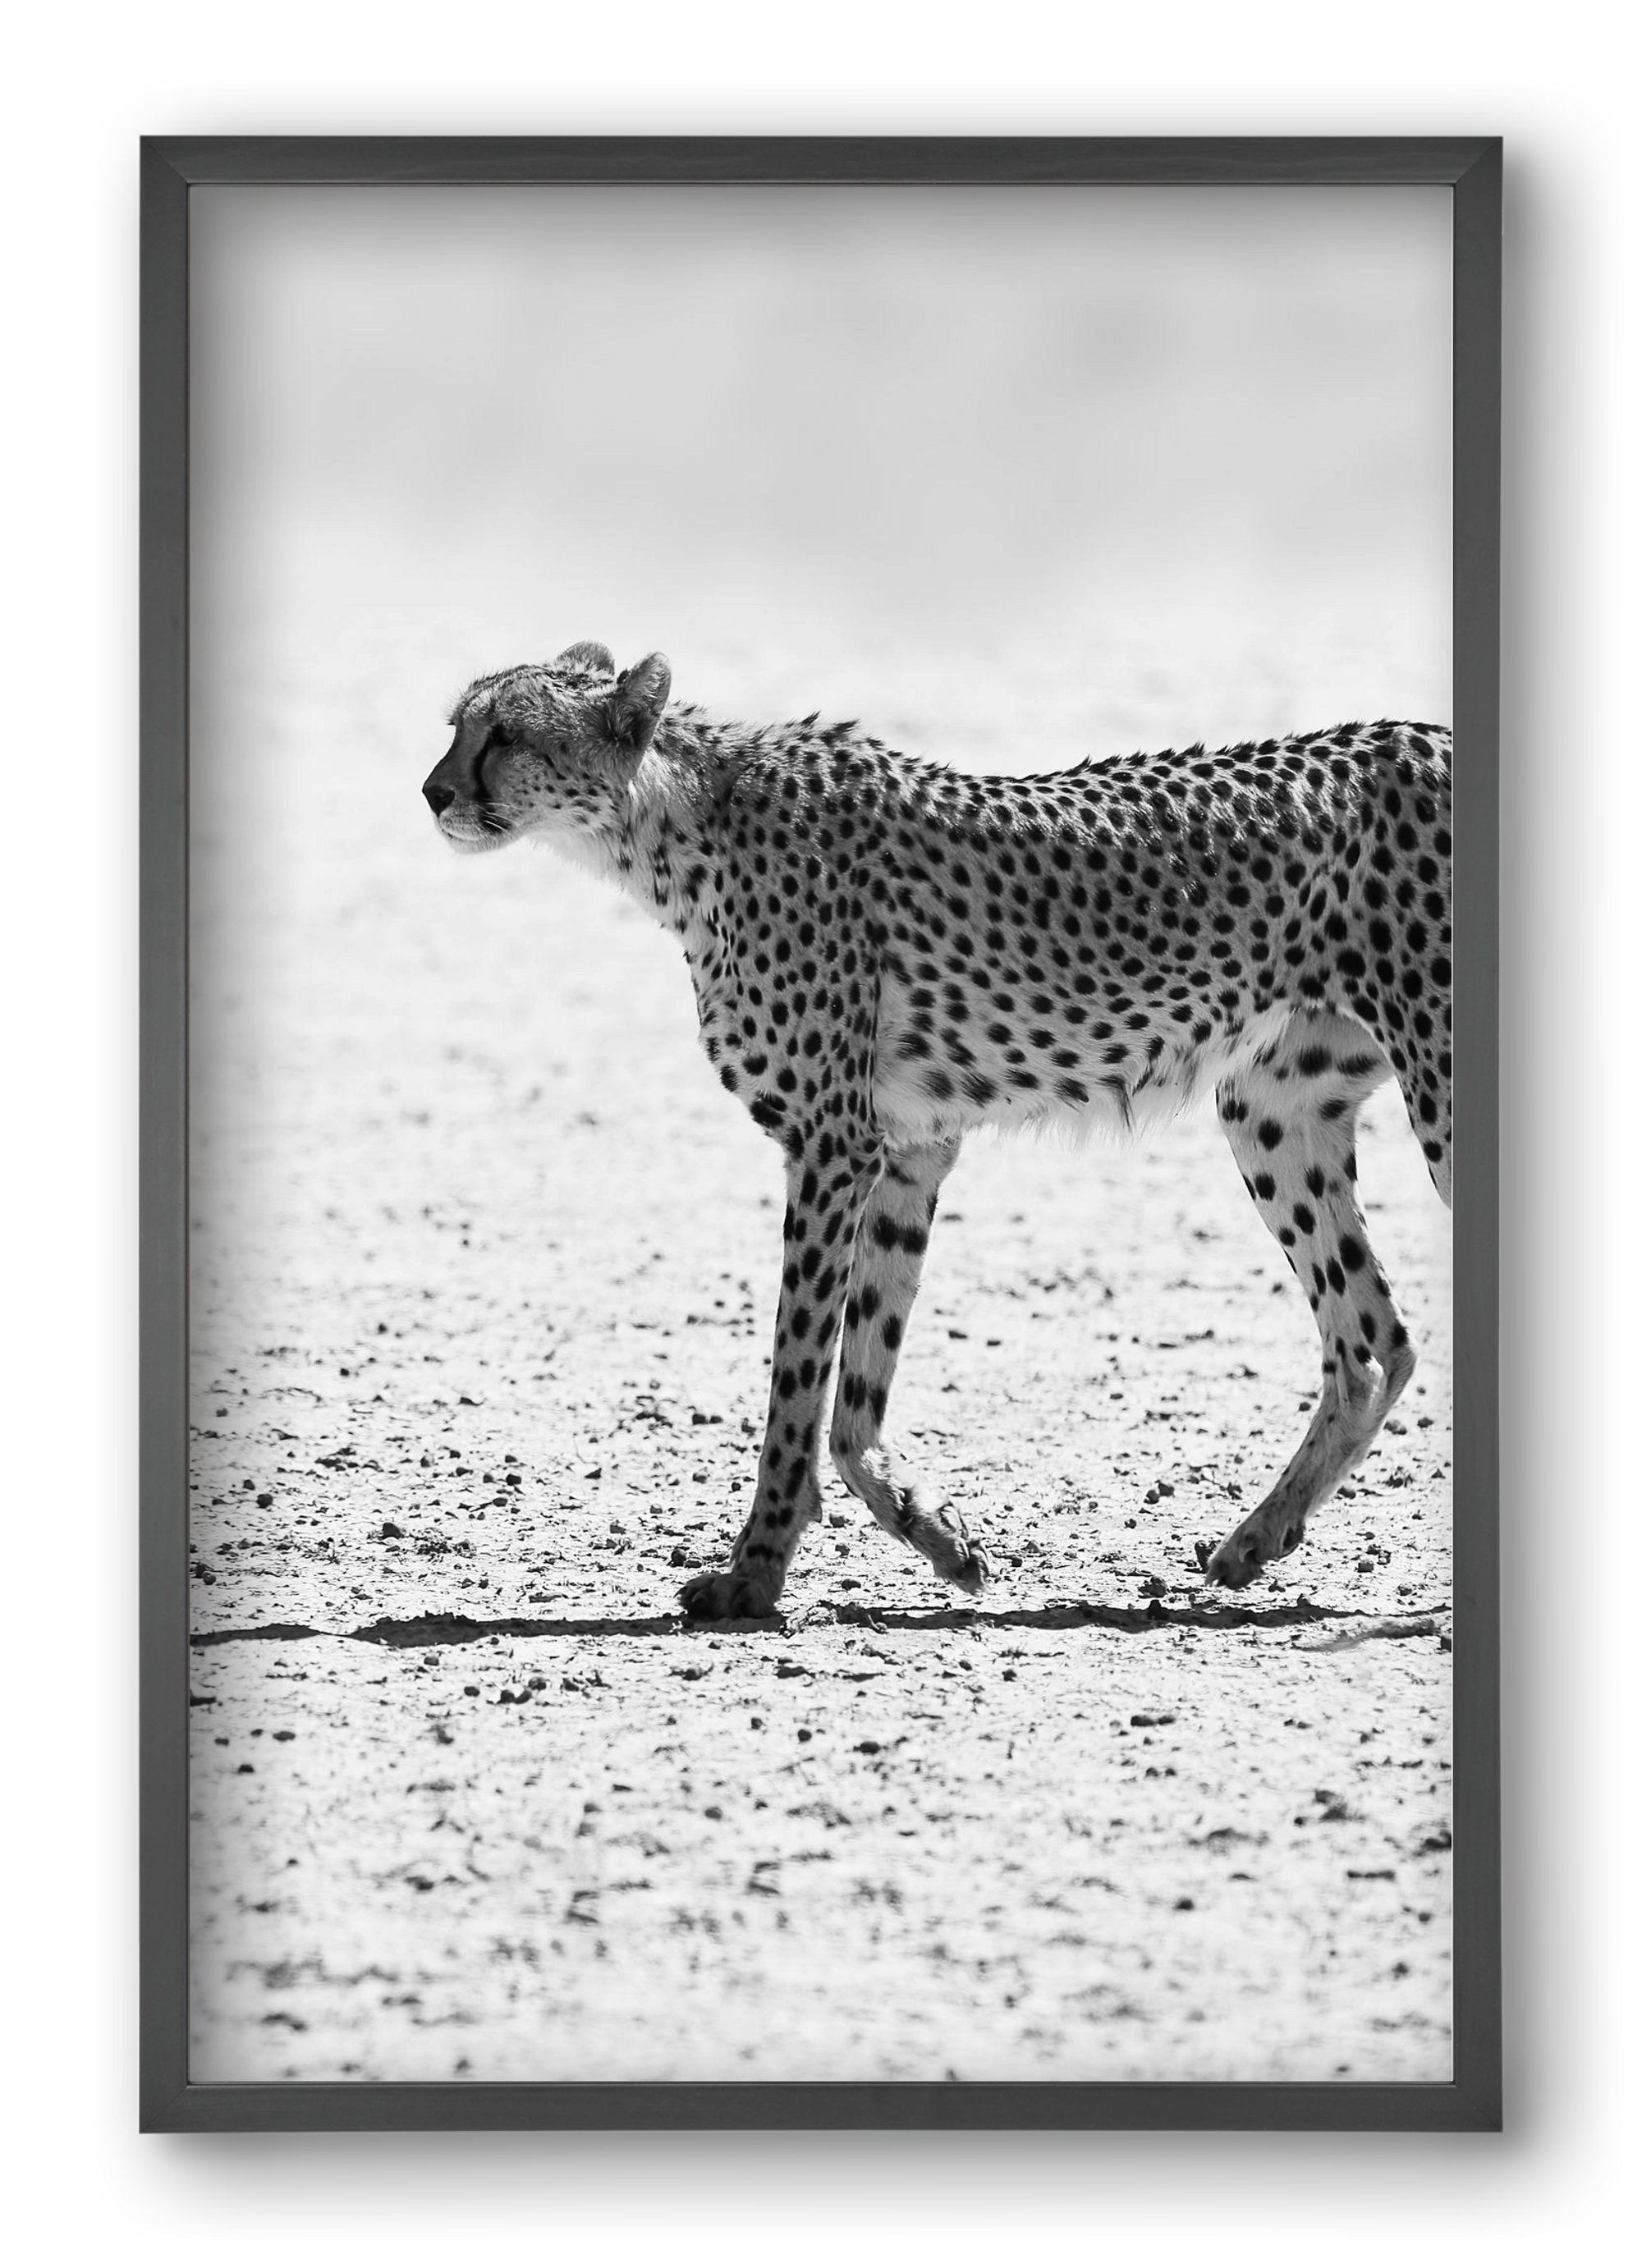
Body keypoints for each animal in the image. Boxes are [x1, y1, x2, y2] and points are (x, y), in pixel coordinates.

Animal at [422, 641, 1452, 1618]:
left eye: (505, 734)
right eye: (456, 726)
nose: (432, 792)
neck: (672, 824)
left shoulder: (830, 1146)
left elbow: (797, 1381)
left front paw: (753, 1575)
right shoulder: (907, 1149)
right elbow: (854, 1397)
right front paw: (940, 1540)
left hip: (1434, 1094)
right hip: (1270, 1109)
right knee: (1371, 1343)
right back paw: (1254, 1540)